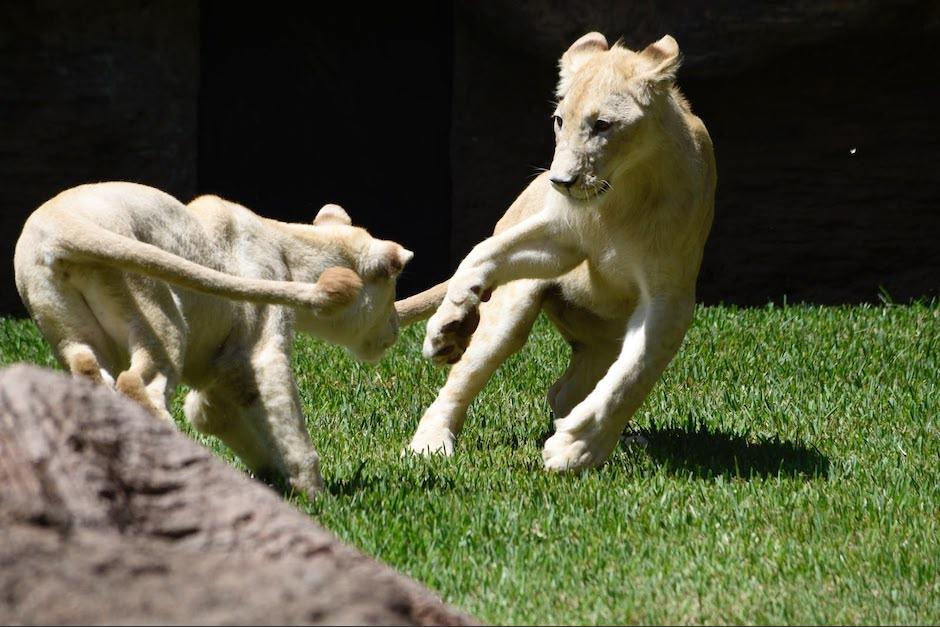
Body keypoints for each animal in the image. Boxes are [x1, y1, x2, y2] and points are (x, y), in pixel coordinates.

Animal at [14, 182, 413, 495]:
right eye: (393, 289)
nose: (395, 328)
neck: (287, 250)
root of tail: (57, 222)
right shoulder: (263, 347)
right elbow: (288, 421)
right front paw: (315, 496)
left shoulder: (220, 368)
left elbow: (210, 413)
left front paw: (271, 479)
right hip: (158, 314)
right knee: (139, 384)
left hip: (70, 333)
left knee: (89, 371)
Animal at [398, 32, 716, 471]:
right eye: (559, 120)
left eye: (603, 125)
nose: (561, 181)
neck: (620, 195)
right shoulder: (564, 236)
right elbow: (482, 252)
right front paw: (449, 320)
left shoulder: (669, 299)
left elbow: (631, 376)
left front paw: (575, 447)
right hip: (513, 309)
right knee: (465, 377)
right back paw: (431, 437)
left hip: (604, 341)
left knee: (567, 390)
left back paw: (616, 439)